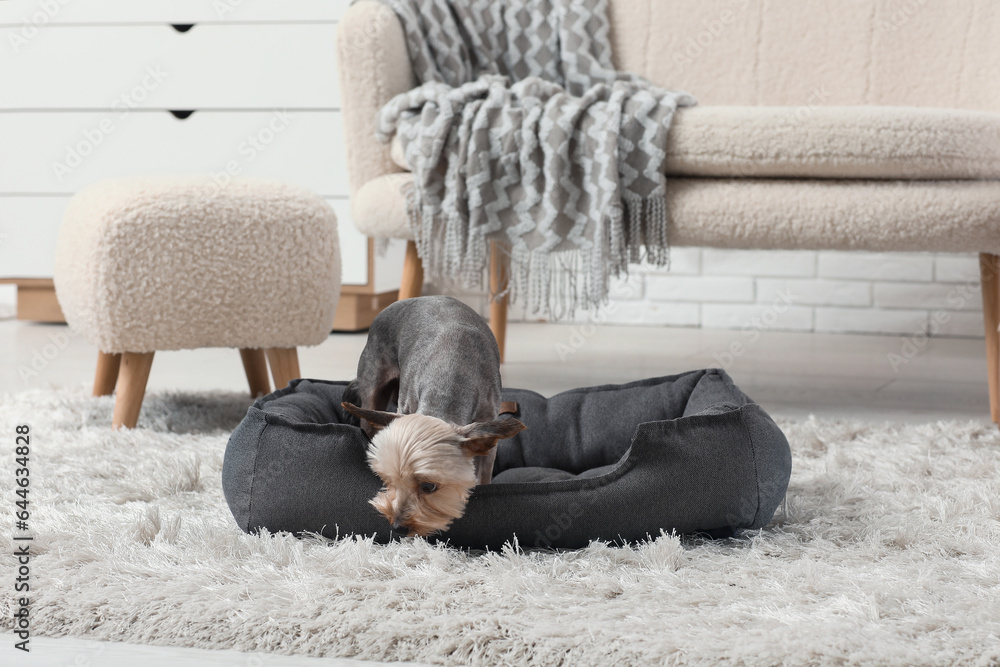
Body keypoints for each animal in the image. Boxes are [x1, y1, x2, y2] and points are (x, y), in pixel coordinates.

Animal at [342, 296, 528, 536]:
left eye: (429, 486)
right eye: (387, 480)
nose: (397, 527)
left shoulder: (488, 431)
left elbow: (484, 475)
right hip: (373, 384)